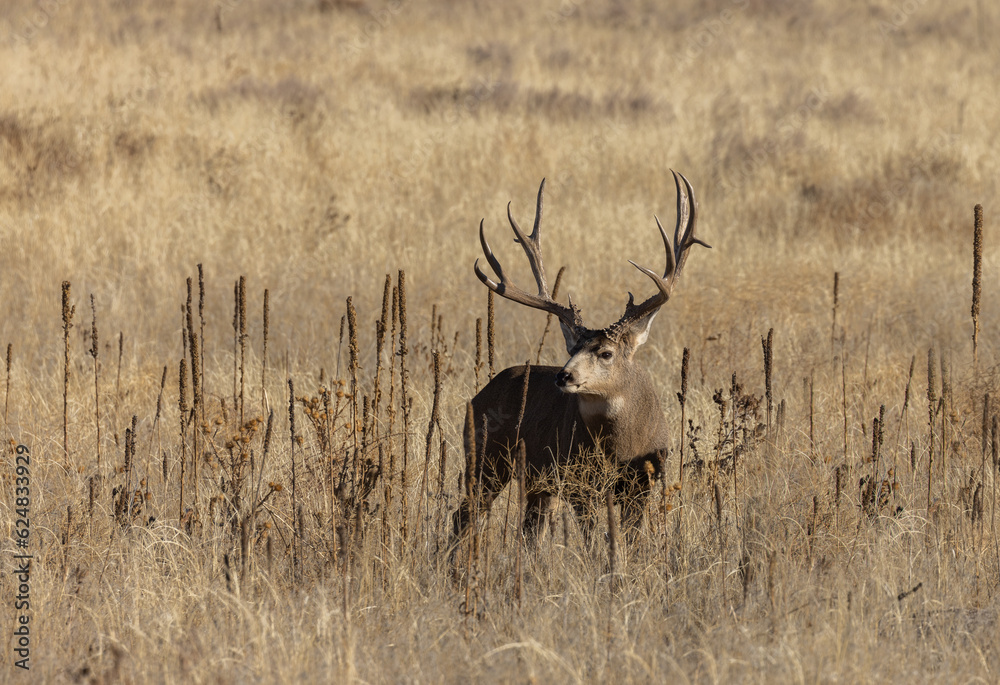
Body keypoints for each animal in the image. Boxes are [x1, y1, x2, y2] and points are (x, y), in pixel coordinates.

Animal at [451, 171, 708, 550]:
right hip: (486, 458)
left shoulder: (642, 483)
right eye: (571, 350)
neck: (620, 446)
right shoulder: (578, 483)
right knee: (464, 515)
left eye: (606, 353)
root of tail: (481, 393)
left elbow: (629, 540)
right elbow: (592, 540)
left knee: (529, 530)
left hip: (536, 481)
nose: (564, 377)